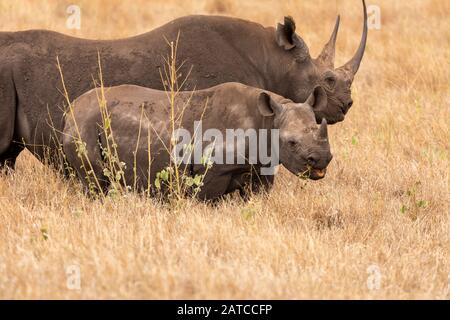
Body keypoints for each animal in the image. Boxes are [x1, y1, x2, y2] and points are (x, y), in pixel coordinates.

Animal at [62, 82, 330, 200]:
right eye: (291, 143)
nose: (322, 160)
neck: (269, 119)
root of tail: (70, 110)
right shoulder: (211, 170)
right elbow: (207, 199)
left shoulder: (261, 166)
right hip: (84, 125)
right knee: (95, 182)